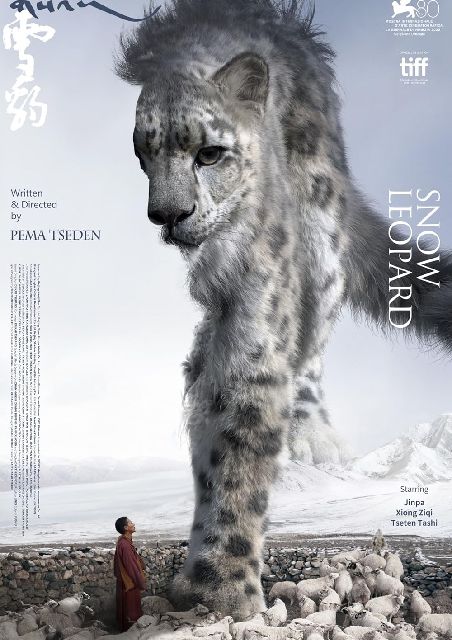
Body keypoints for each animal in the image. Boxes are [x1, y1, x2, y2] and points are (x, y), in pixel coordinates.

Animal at [116, 0, 452, 620]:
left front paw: (221, 586)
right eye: (142, 153)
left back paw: (313, 432)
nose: (167, 215)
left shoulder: (259, 296)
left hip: (321, 241)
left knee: (315, 336)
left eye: (210, 152)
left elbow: (244, 417)